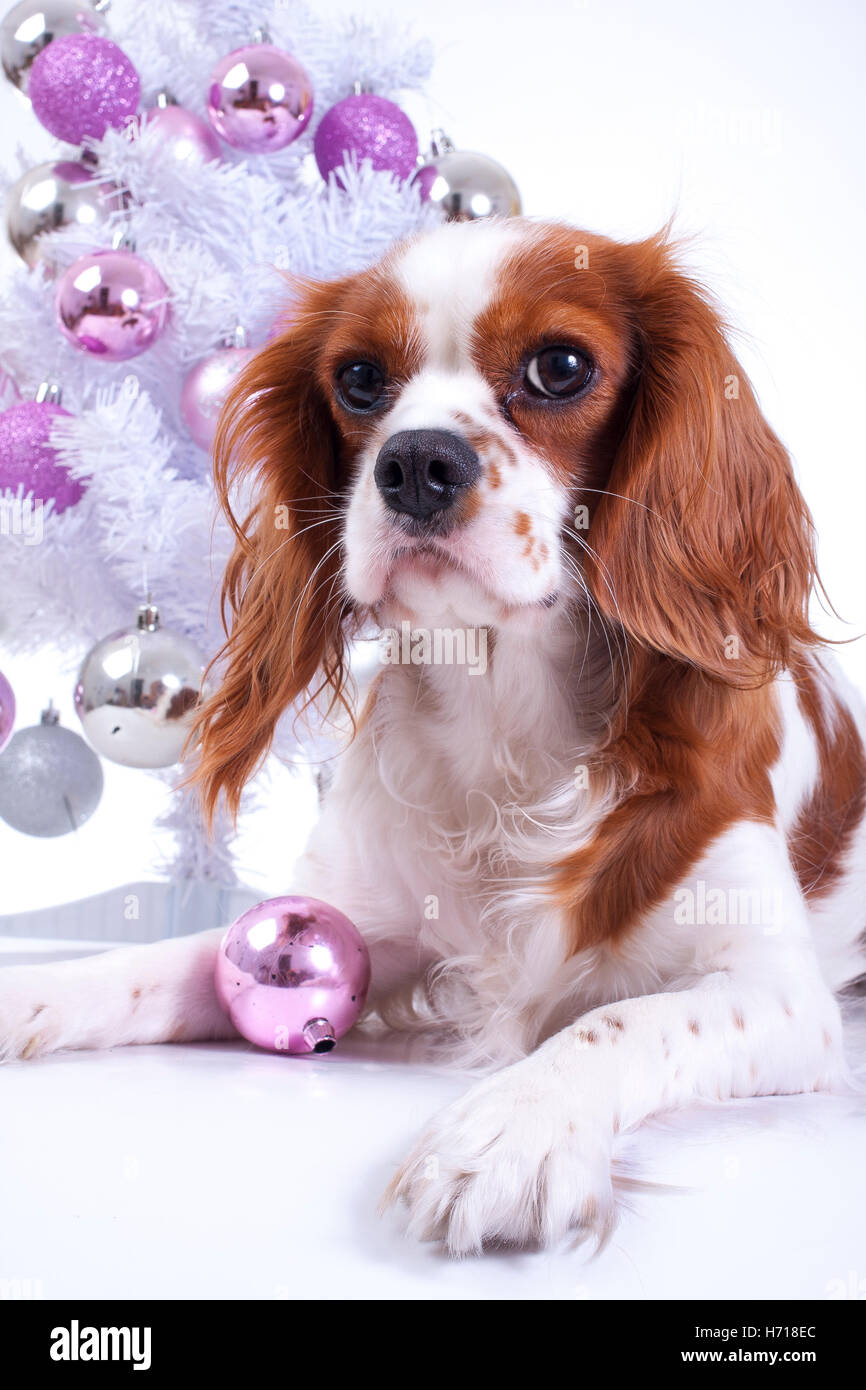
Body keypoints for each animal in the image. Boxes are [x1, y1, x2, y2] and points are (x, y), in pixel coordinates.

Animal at [1, 219, 866, 1262]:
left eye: (560, 367)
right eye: (360, 378)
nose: (416, 462)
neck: (506, 711)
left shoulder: (781, 995)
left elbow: (621, 1023)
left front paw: (508, 1132)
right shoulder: (359, 924)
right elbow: (170, 962)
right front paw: (32, 995)